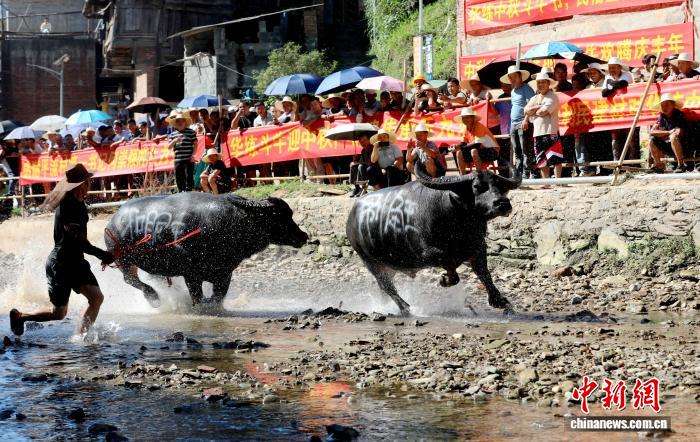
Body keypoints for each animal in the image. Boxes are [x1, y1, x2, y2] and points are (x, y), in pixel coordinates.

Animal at [104, 192, 308, 308]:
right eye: (279, 215)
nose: (304, 236)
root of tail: (112, 222)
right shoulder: (191, 275)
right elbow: (198, 297)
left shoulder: (224, 273)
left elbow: (218, 297)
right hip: (124, 262)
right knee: (131, 280)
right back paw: (154, 297)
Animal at [346, 166, 521, 316]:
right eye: (477, 186)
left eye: (501, 186)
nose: (503, 203)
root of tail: (351, 218)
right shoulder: (428, 254)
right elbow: (450, 265)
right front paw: (444, 280)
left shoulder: (478, 248)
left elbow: (484, 274)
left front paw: (500, 301)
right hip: (370, 262)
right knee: (386, 286)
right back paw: (405, 308)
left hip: (388, 265)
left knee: (384, 288)